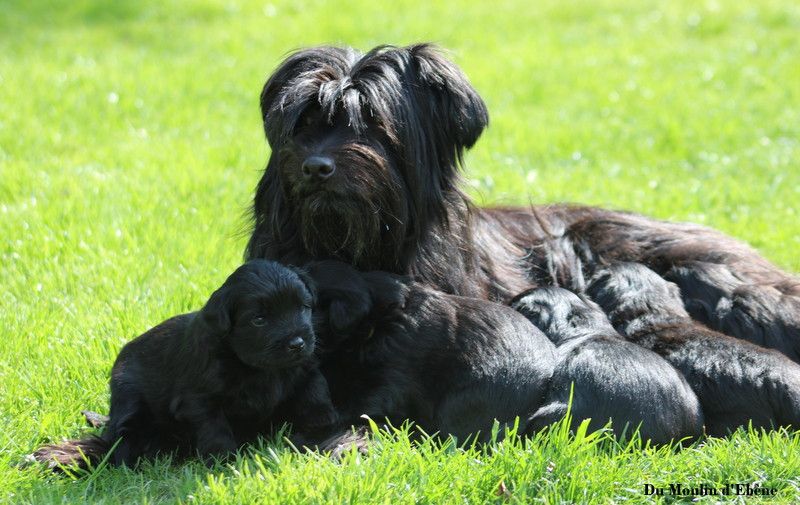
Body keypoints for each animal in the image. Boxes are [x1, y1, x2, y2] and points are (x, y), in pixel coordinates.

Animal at [33, 260, 334, 468]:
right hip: (130, 398)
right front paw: (225, 460)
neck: (255, 367)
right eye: (259, 320)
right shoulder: (199, 398)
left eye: (303, 307)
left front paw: (317, 431)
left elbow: (314, 396)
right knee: (121, 442)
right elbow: (214, 427)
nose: (297, 343)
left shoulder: (304, 370)